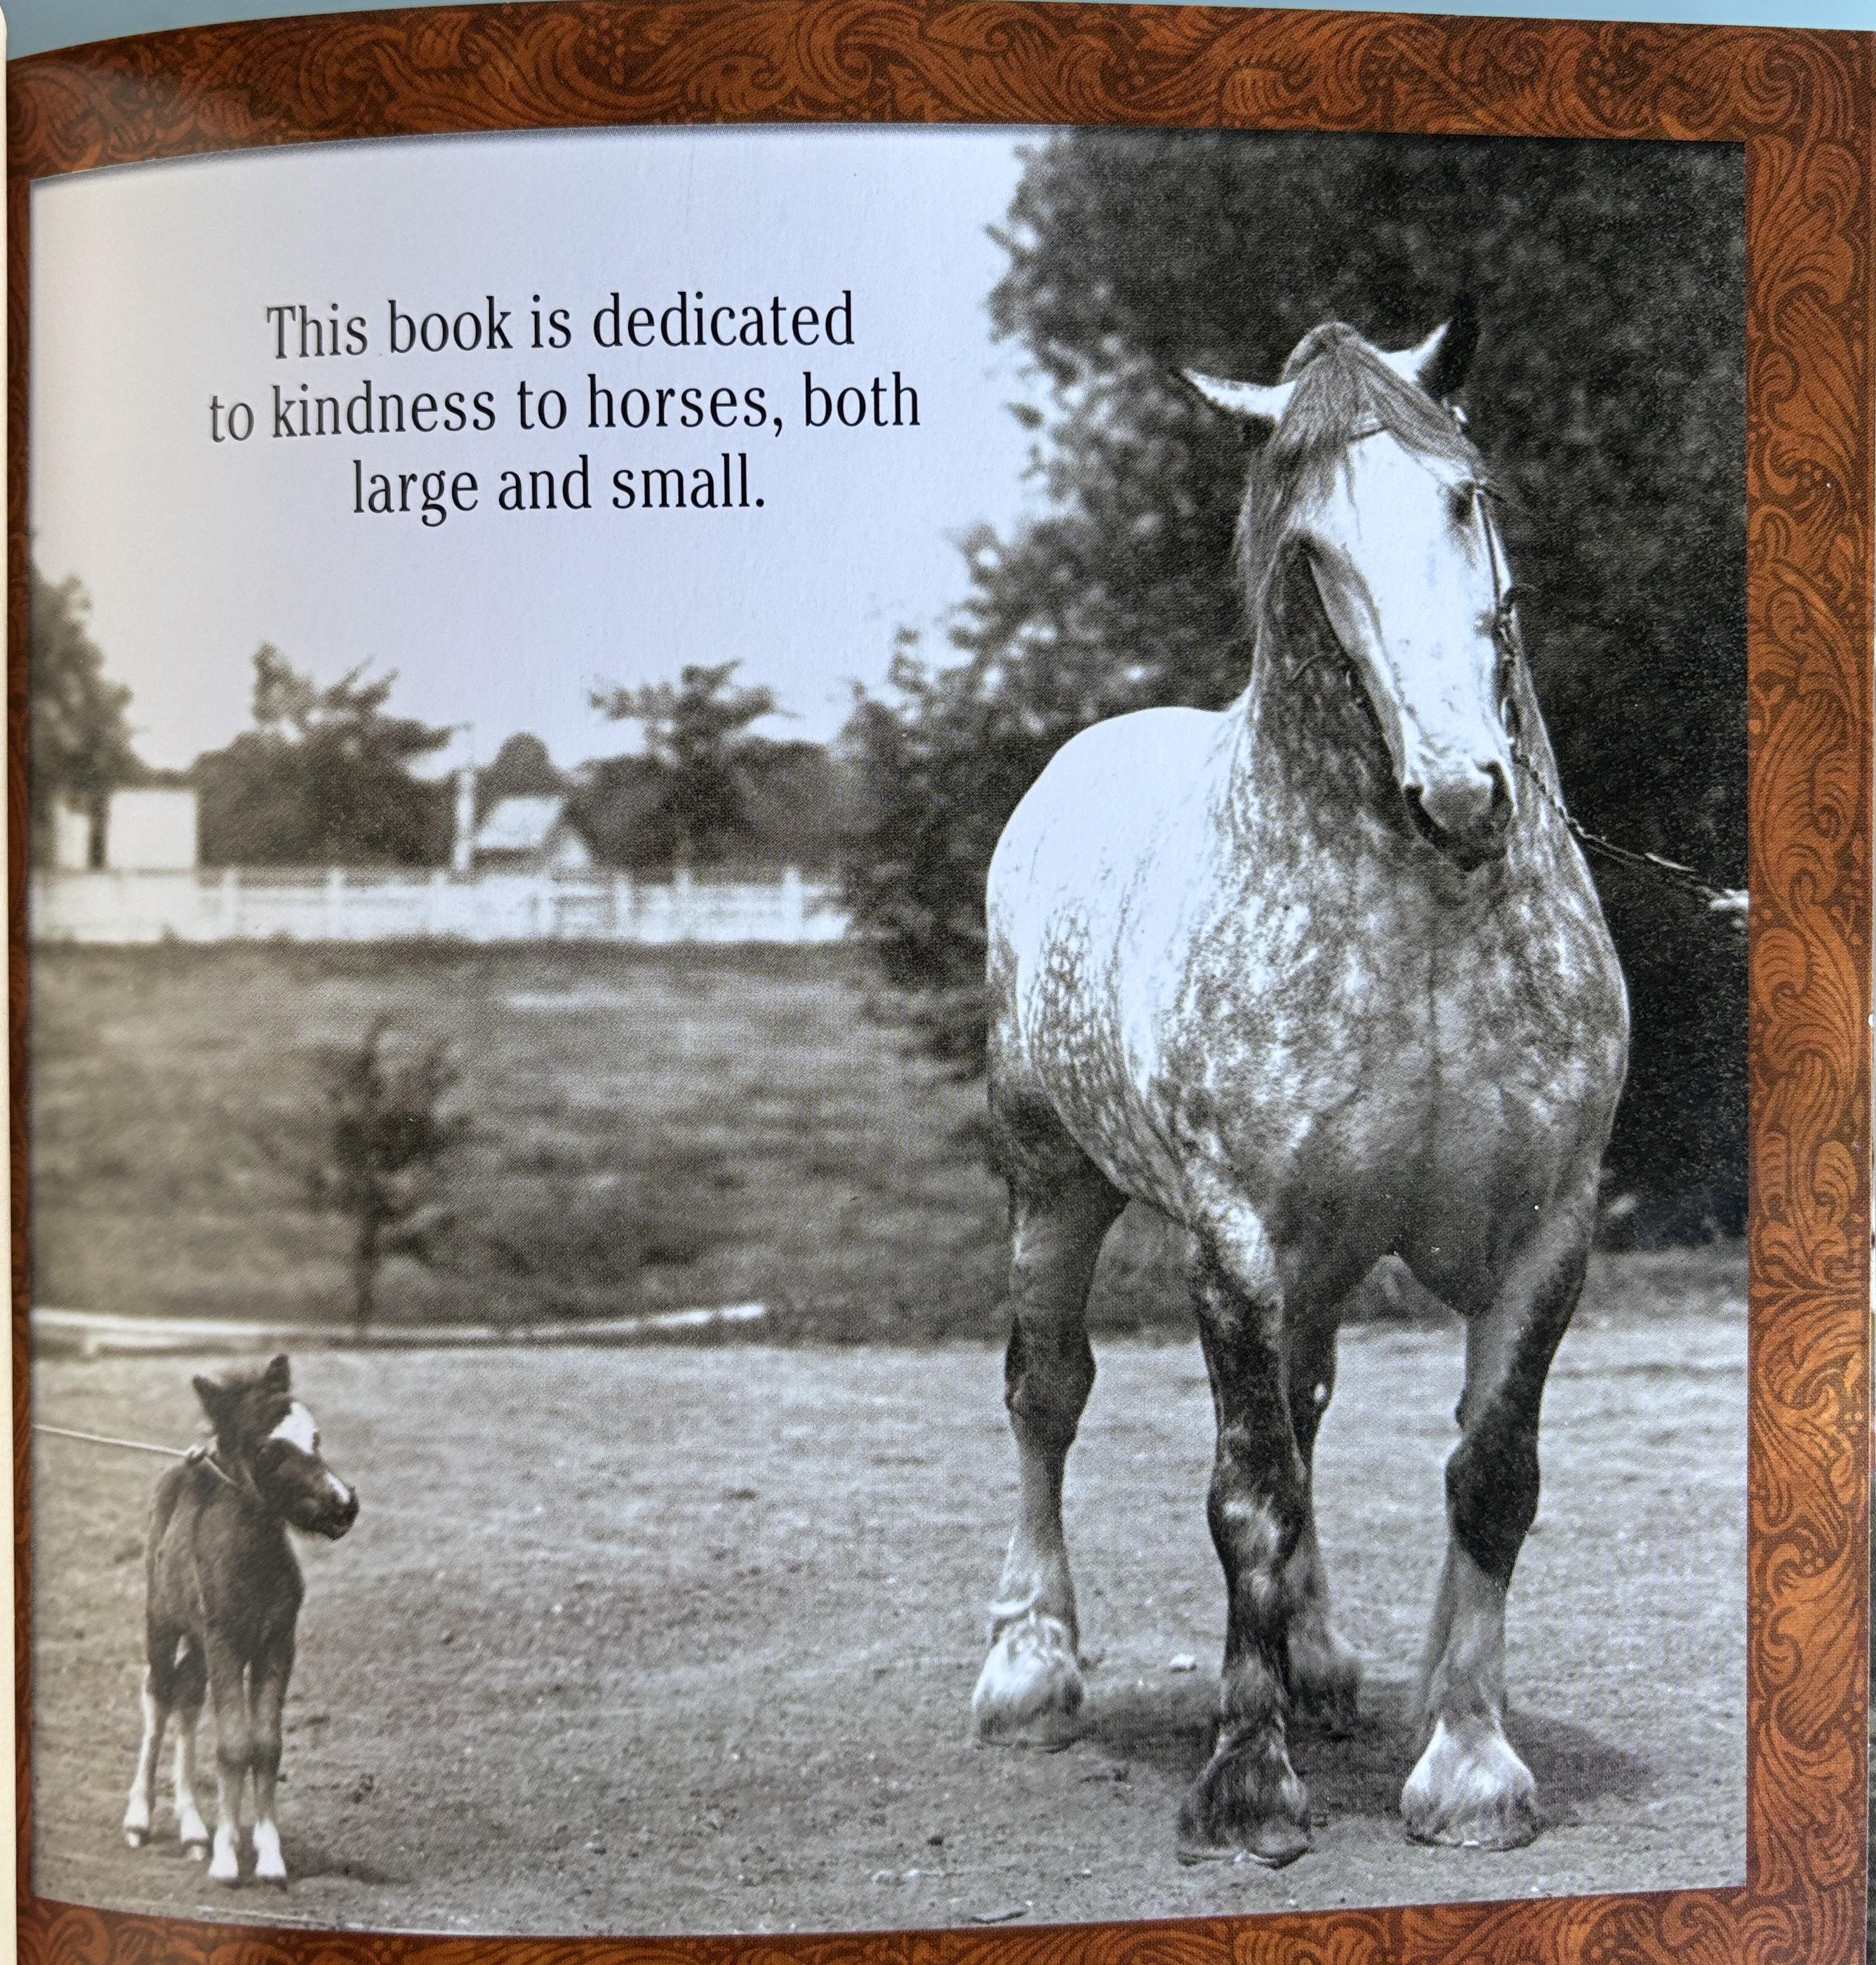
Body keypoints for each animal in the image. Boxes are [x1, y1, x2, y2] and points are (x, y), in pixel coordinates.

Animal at [122, 1354, 359, 1885]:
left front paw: (268, 1857)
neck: (254, 1565)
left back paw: (193, 1829)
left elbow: (265, 1744)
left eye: (316, 1437)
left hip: (200, 1641)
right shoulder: (227, 1643)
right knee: (159, 1696)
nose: (343, 1505)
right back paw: (139, 1820)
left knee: (188, 1693)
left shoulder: (276, 1644)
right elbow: (232, 1745)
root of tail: (184, 1466)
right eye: (269, 1449)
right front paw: (227, 1861)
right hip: (163, 1622)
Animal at [968, 316, 1628, 1866]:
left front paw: (1467, 1764)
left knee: (1311, 1406)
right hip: (1052, 1184)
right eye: (1310, 547)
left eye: (1463, 496)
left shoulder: (1547, 1236)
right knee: (1046, 1394)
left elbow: (1487, 1481)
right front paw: (1244, 1782)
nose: (1464, 791)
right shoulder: (1235, 1246)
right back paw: (1030, 1668)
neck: (1424, 915)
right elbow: (1246, 1503)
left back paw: (1322, 1664)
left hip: (1322, 1260)